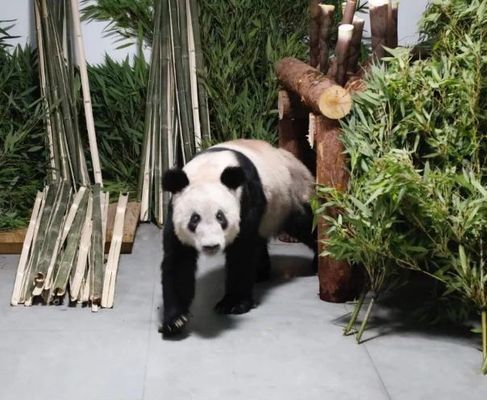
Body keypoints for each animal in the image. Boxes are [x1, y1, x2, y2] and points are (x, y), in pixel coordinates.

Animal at [160, 139, 316, 336]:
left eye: (221, 217)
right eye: (194, 219)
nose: (211, 246)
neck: (208, 169)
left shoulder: (247, 199)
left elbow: (242, 252)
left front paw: (233, 304)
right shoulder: (174, 213)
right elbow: (179, 261)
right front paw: (175, 319)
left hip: (291, 196)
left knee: (306, 224)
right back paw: (260, 273)